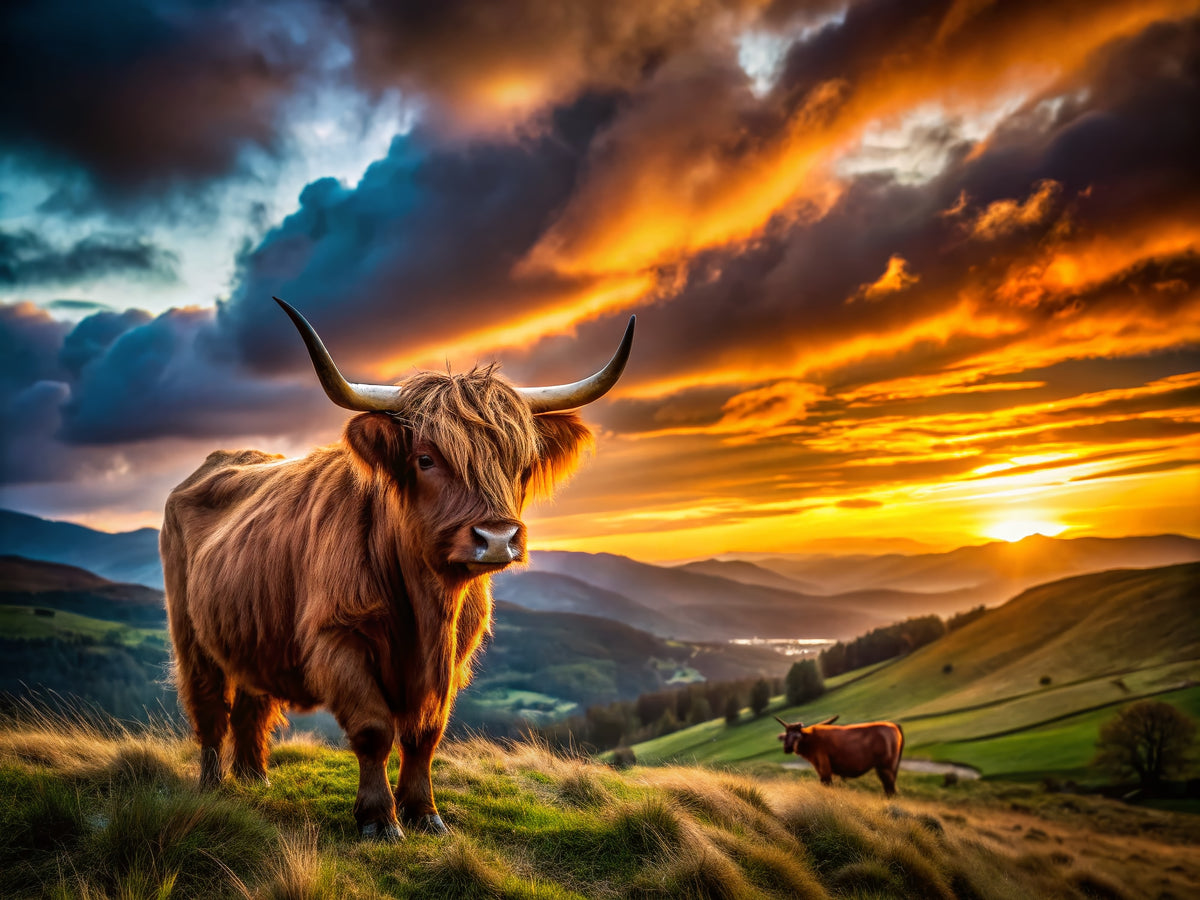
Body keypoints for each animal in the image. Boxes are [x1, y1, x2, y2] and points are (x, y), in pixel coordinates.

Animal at [161, 297, 634, 840]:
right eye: (426, 459)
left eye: (521, 463)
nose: (498, 538)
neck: (426, 604)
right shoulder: (339, 640)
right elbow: (373, 729)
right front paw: (378, 818)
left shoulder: (452, 656)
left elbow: (425, 733)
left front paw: (425, 812)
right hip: (191, 637)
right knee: (210, 708)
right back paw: (213, 785)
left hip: (252, 632)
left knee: (251, 706)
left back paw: (254, 777)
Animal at [775, 714, 904, 797]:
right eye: (786, 736)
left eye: (796, 736)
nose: (787, 748)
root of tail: (892, 725)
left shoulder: (824, 765)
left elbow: (826, 783)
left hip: (886, 766)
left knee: (890, 788)